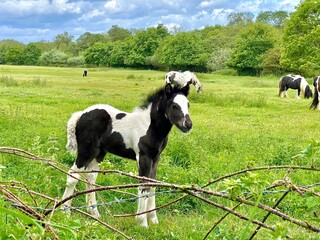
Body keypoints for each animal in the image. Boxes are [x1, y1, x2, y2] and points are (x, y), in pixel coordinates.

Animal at [62, 83, 192, 228]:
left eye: (188, 104)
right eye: (174, 105)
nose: (188, 125)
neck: (150, 127)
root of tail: (81, 115)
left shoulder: (155, 158)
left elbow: (152, 184)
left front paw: (154, 219)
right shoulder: (144, 157)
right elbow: (143, 186)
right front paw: (142, 222)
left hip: (99, 153)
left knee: (90, 177)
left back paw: (94, 213)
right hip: (87, 151)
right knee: (73, 175)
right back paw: (65, 212)